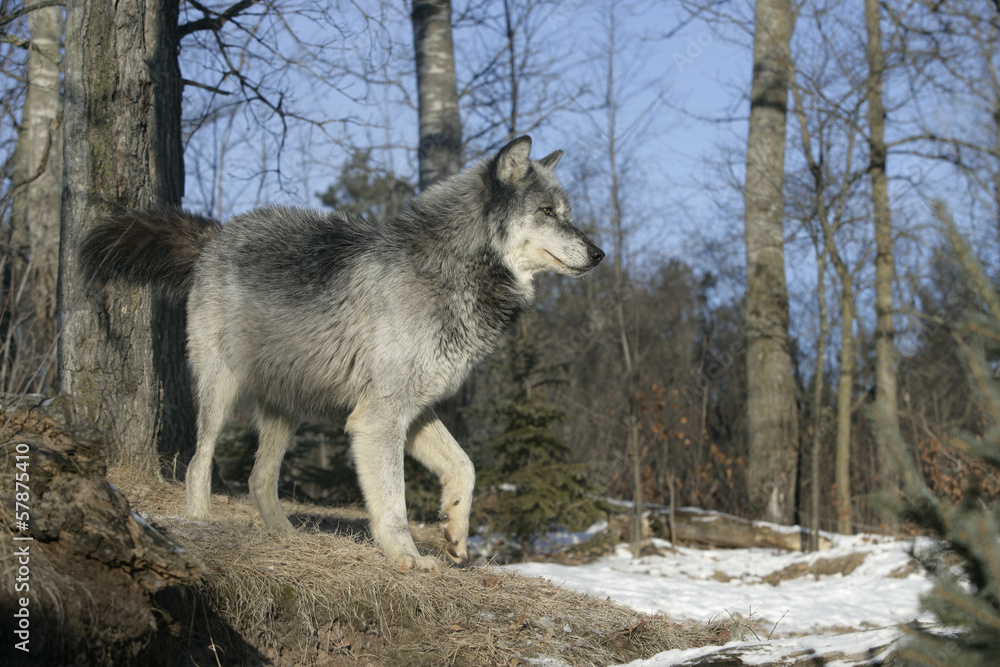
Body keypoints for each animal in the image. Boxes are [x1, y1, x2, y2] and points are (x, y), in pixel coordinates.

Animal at [80, 136, 600, 568]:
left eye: (567, 212)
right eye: (548, 211)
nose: (599, 254)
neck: (450, 272)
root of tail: (217, 234)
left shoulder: (413, 410)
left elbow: (465, 466)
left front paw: (454, 532)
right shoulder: (378, 420)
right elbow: (393, 504)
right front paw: (409, 559)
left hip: (286, 407)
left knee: (258, 480)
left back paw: (288, 540)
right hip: (222, 392)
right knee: (197, 463)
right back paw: (202, 524)